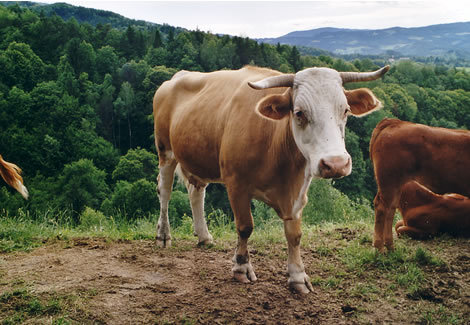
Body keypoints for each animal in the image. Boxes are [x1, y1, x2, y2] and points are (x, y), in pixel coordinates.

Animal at [154, 64, 390, 292]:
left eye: (346, 110)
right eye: (299, 113)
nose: (336, 164)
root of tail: (177, 77)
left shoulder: (298, 192)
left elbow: (295, 235)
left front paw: (298, 276)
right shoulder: (236, 184)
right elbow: (245, 227)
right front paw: (241, 267)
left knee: (196, 192)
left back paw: (204, 236)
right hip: (165, 149)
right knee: (165, 191)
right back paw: (163, 235)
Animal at [370, 118, 470, 251]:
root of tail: (396, 122)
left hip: (395, 183)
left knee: (390, 209)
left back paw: (390, 246)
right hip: (389, 179)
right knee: (382, 207)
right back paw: (379, 247)